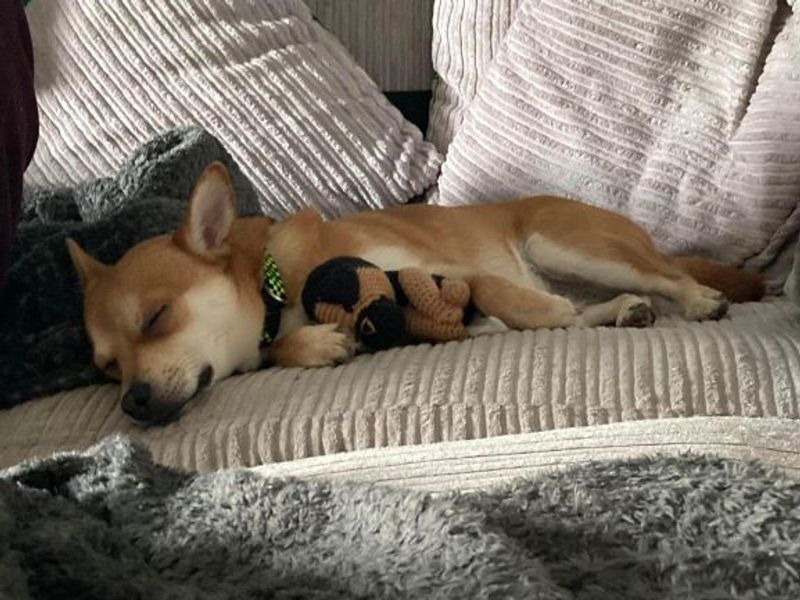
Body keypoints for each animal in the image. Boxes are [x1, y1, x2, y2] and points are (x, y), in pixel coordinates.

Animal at [67, 159, 764, 422]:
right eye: (107, 369)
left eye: (156, 317)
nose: (132, 402)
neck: (274, 287)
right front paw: (320, 344)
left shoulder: (426, 267)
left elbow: (494, 290)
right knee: (594, 307)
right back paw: (619, 313)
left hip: (565, 243)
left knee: (665, 276)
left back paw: (692, 298)